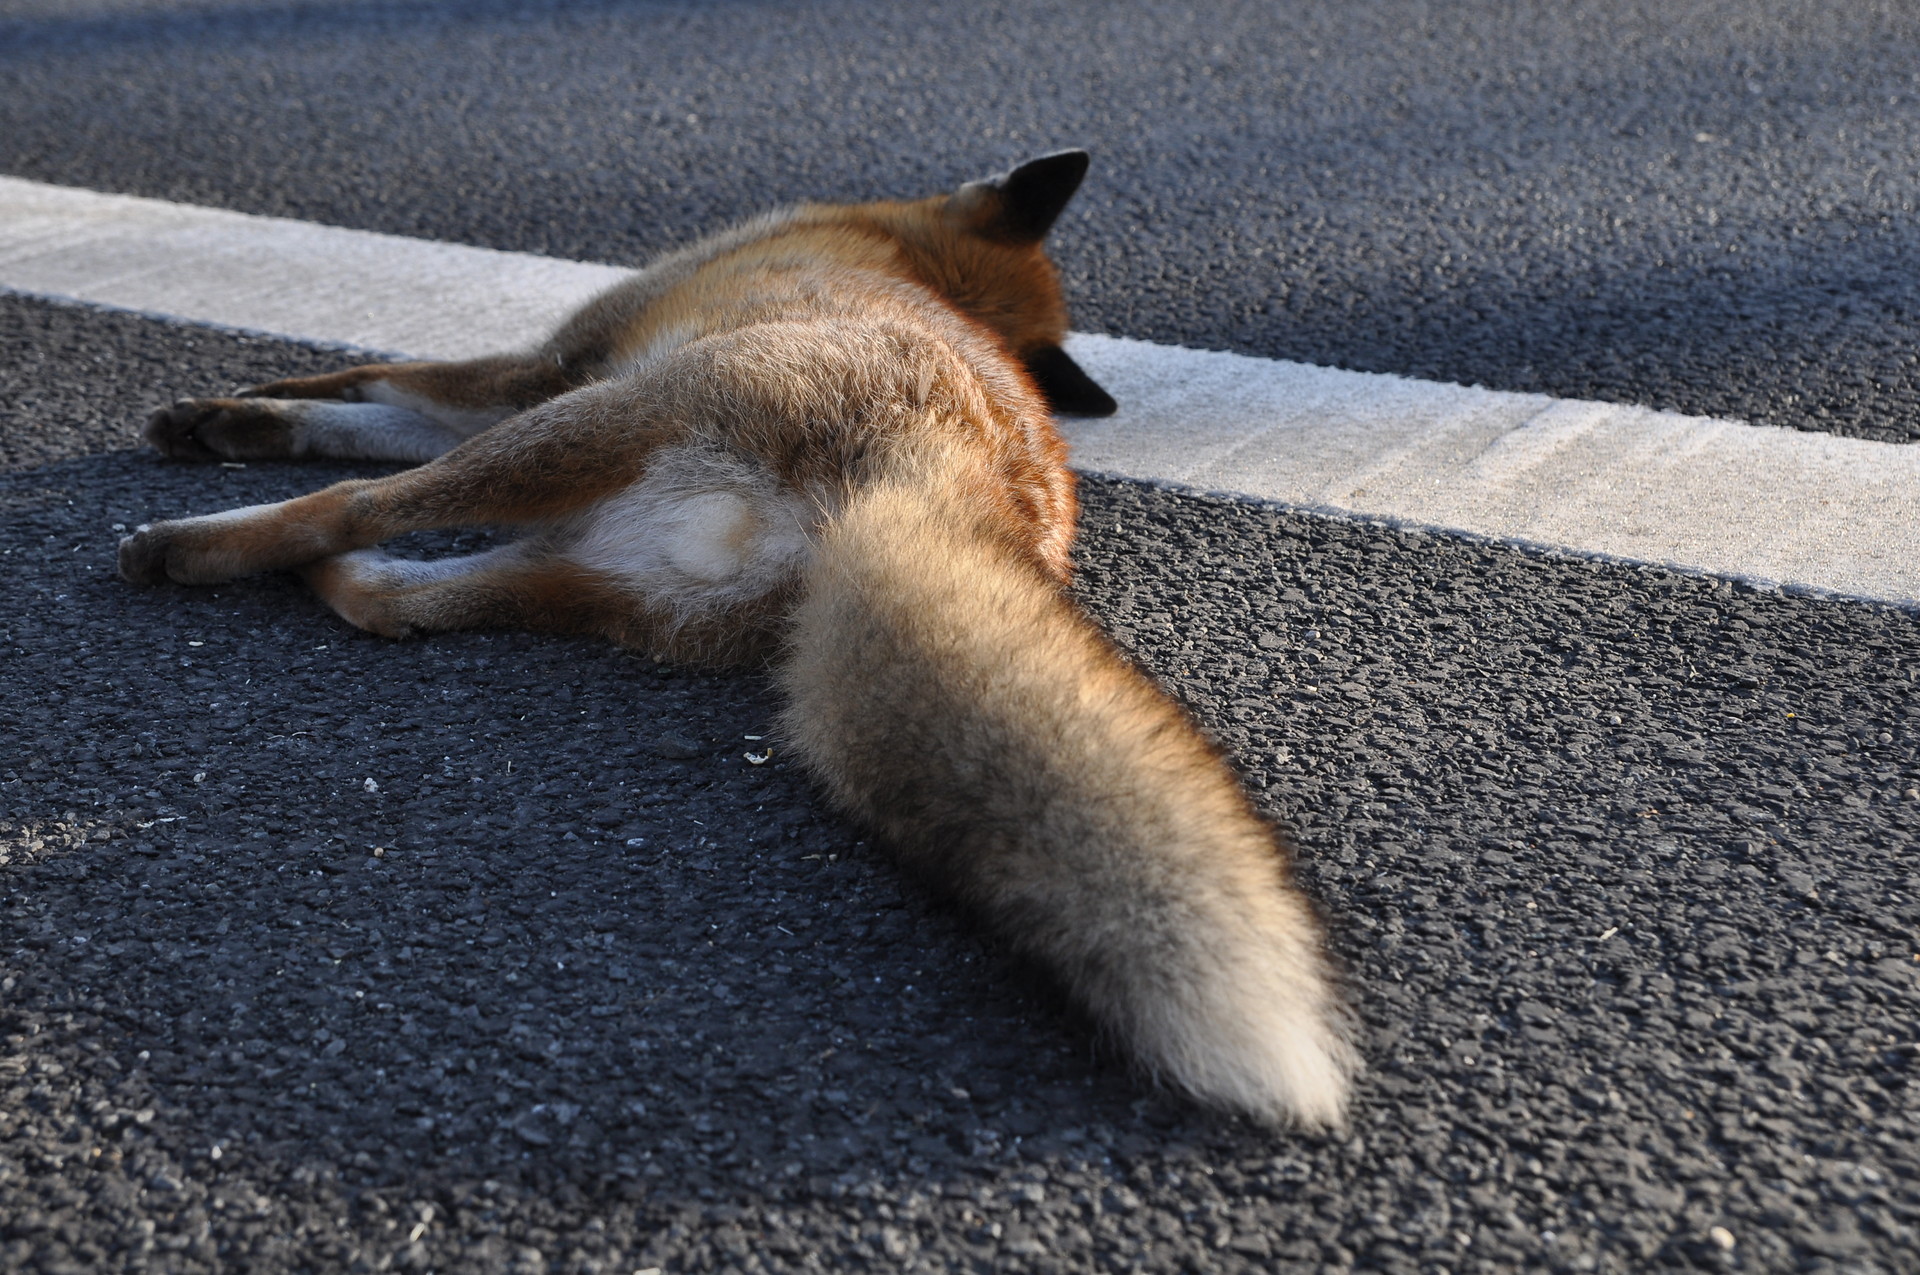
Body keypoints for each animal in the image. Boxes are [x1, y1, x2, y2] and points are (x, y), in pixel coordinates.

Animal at [116, 151, 1359, 1128]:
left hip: (575, 432)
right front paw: (228, 420)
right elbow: (354, 406)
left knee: (353, 508)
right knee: (389, 598)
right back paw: (319, 575)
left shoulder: (545, 368)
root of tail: (966, 488)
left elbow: (358, 386)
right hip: (594, 569)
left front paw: (221, 417)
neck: (900, 256)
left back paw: (193, 547)